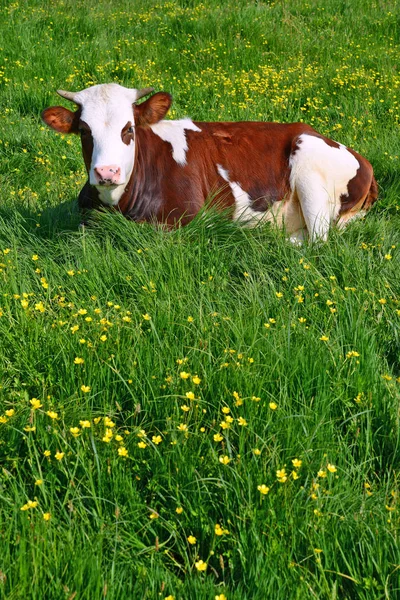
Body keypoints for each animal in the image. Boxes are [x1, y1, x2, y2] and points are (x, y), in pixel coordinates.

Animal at [42, 82, 376, 241]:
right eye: (85, 131)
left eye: (129, 129)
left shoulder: (183, 219)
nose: (107, 172)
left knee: (316, 241)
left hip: (311, 174)